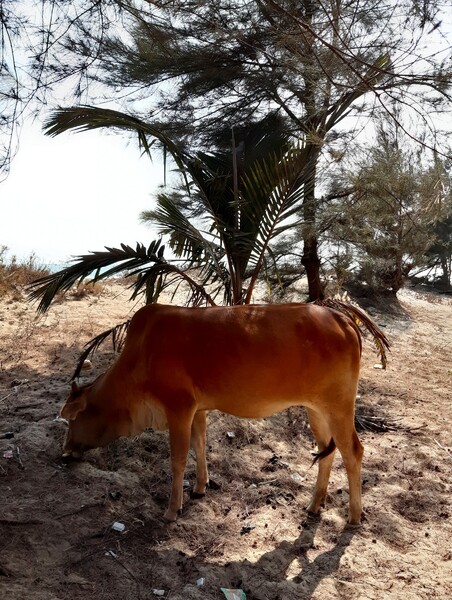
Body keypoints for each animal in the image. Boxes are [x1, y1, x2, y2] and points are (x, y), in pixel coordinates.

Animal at [59, 302, 384, 524]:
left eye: (72, 419)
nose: (65, 451)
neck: (140, 355)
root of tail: (341, 318)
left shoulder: (178, 408)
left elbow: (178, 458)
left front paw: (172, 509)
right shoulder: (197, 410)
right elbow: (200, 445)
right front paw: (200, 487)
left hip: (339, 406)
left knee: (353, 451)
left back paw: (355, 515)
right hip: (316, 409)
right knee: (327, 451)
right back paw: (315, 504)